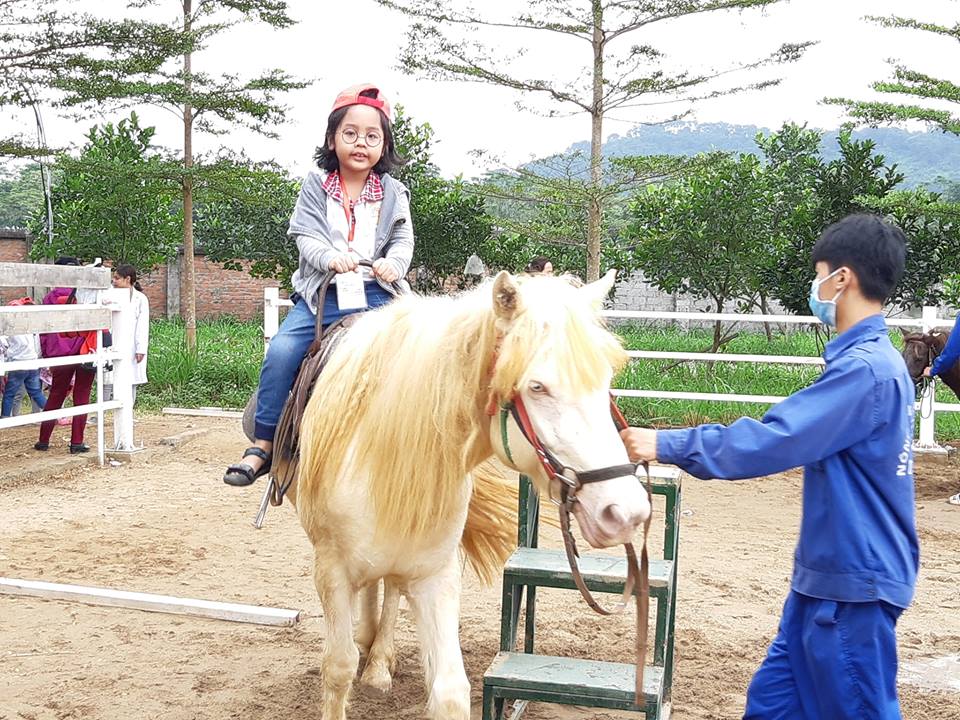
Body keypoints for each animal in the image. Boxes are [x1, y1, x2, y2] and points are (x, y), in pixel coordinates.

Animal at [288, 269, 650, 720]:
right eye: (537, 386)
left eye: (605, 382)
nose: (626, 511)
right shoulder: (331, 571)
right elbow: (337, 668)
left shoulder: (434, 574)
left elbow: (449, 690)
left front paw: (379, 662)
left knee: (388, 591)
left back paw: (378, 662)